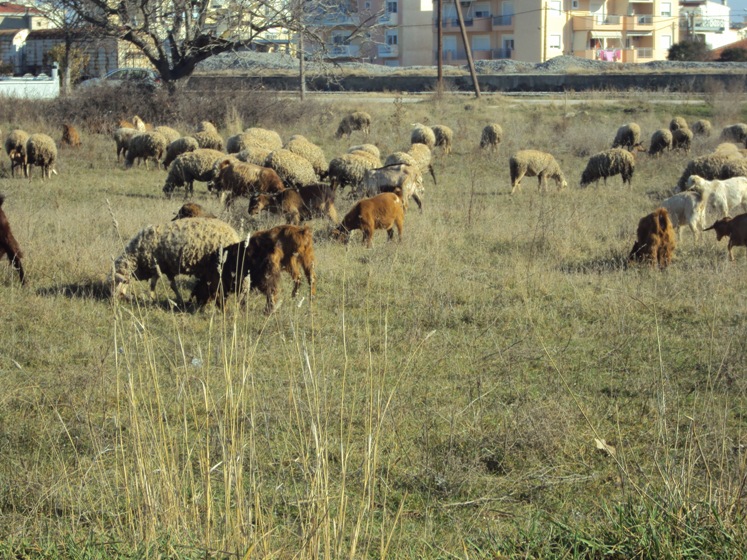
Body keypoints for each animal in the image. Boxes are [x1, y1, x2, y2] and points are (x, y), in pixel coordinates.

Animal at [110, 218, 240, 306]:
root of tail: (235, 236)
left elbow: (153, 284)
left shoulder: (156, 265)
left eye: (116, 284)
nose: (112, 301)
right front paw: (178, 299)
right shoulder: (166, 268)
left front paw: (152, 298)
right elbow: (171, 285)